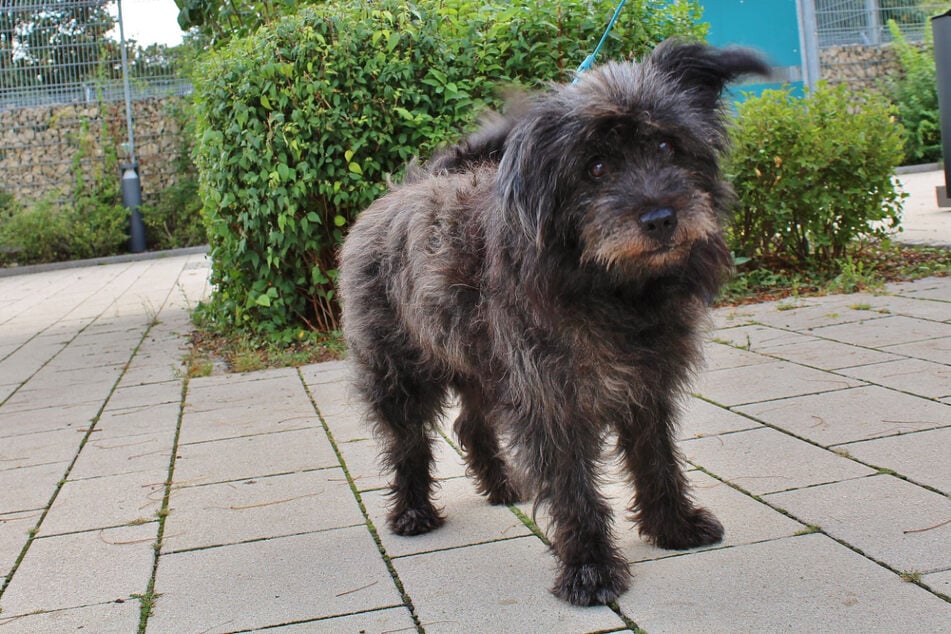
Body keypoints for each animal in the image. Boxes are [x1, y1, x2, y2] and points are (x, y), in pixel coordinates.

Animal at [338, 42, 768, 604]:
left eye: (667, 144)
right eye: (596, 166)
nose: (660, 218)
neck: (614, 289)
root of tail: (409, 187)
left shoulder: (645, 387)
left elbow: (656, 459)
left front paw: (673, 526)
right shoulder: (552, 397)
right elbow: (573, 488)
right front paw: (590, 568)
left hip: (485, 366)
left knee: (470, 424)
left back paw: (502, 486)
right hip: (402, 374)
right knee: (408, 441)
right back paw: (413, 512)